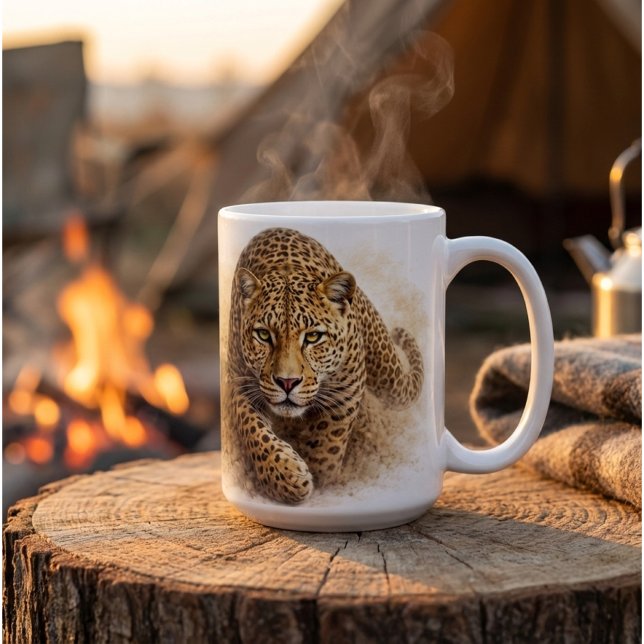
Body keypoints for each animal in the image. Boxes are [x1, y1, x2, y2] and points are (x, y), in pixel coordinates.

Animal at [226, 227, 424, 504]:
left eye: (312, 337)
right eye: (264, 335)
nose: (287, 382)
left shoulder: (344, 396)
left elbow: (326, 448)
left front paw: (320, 479)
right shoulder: (240, 380)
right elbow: (251, 427)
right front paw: (285, 476)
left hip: (389, 378)